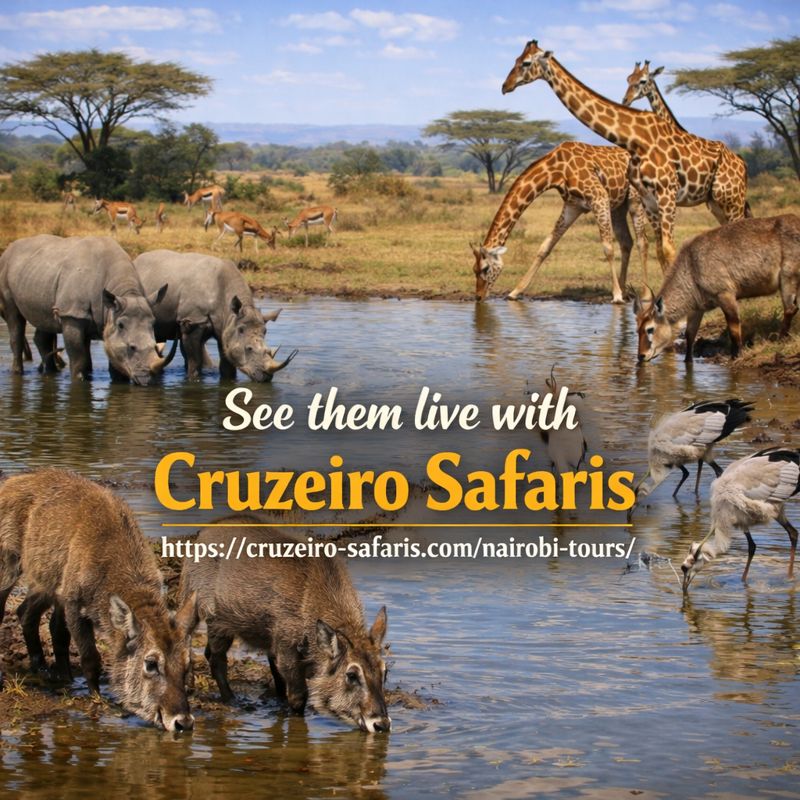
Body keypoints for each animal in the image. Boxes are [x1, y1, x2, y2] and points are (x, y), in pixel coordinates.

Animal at [0, 235, 173, 385]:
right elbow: (79, 359)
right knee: (14, 320)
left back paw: (51, 373)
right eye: (131, 347)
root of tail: (9, 249)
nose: (146, 380)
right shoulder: (72, 315)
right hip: (6, 269)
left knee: (45, 323)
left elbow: (113, 360)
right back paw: (18, 372)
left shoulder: (108, 319)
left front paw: (120, 381)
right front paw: (79, 380)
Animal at [134, 250, 297, 381]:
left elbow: (227, 363)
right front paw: (193, 380)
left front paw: (228, 380)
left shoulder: (225, 326)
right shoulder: (193, 320)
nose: (266, 377)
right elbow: (195, 361)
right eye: (249, 349)